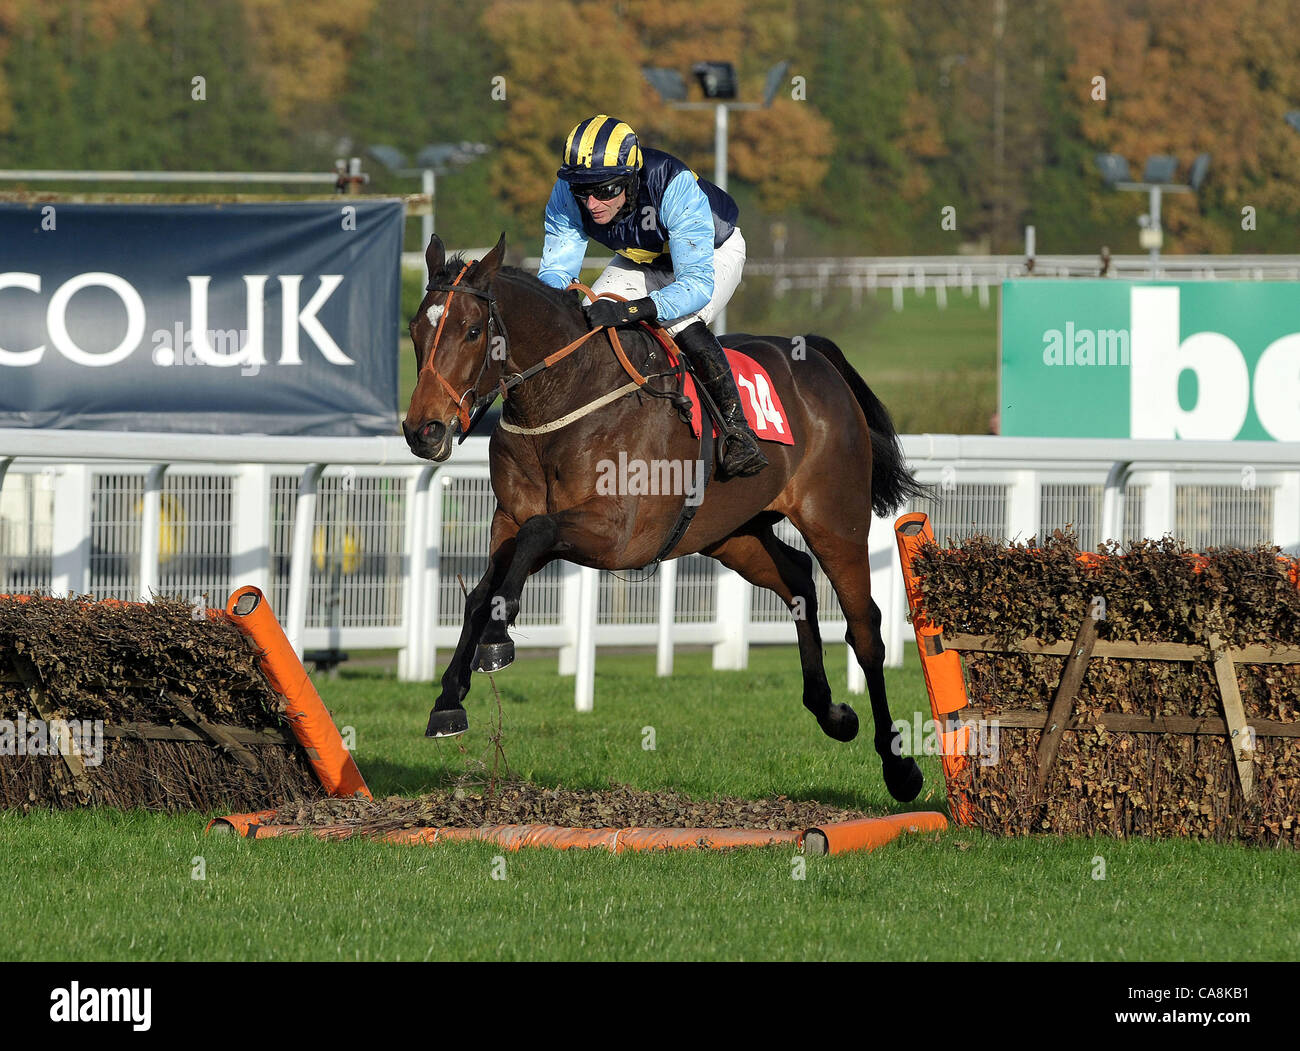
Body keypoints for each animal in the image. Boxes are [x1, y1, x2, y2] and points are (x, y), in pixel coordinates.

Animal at [403, 234, 925, 801]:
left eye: (473, 331)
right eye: (415, 329)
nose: (423, 431)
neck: (566, 398)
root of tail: (819, 360)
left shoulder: (617, 535)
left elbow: (536, 539)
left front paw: (497, 641)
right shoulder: (510, 520)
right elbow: (483, 590)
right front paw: (447, 700)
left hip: (835, 519)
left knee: (864, 629)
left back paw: (899, 767)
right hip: (732, 533)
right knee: (798, 579)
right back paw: (831, 712)